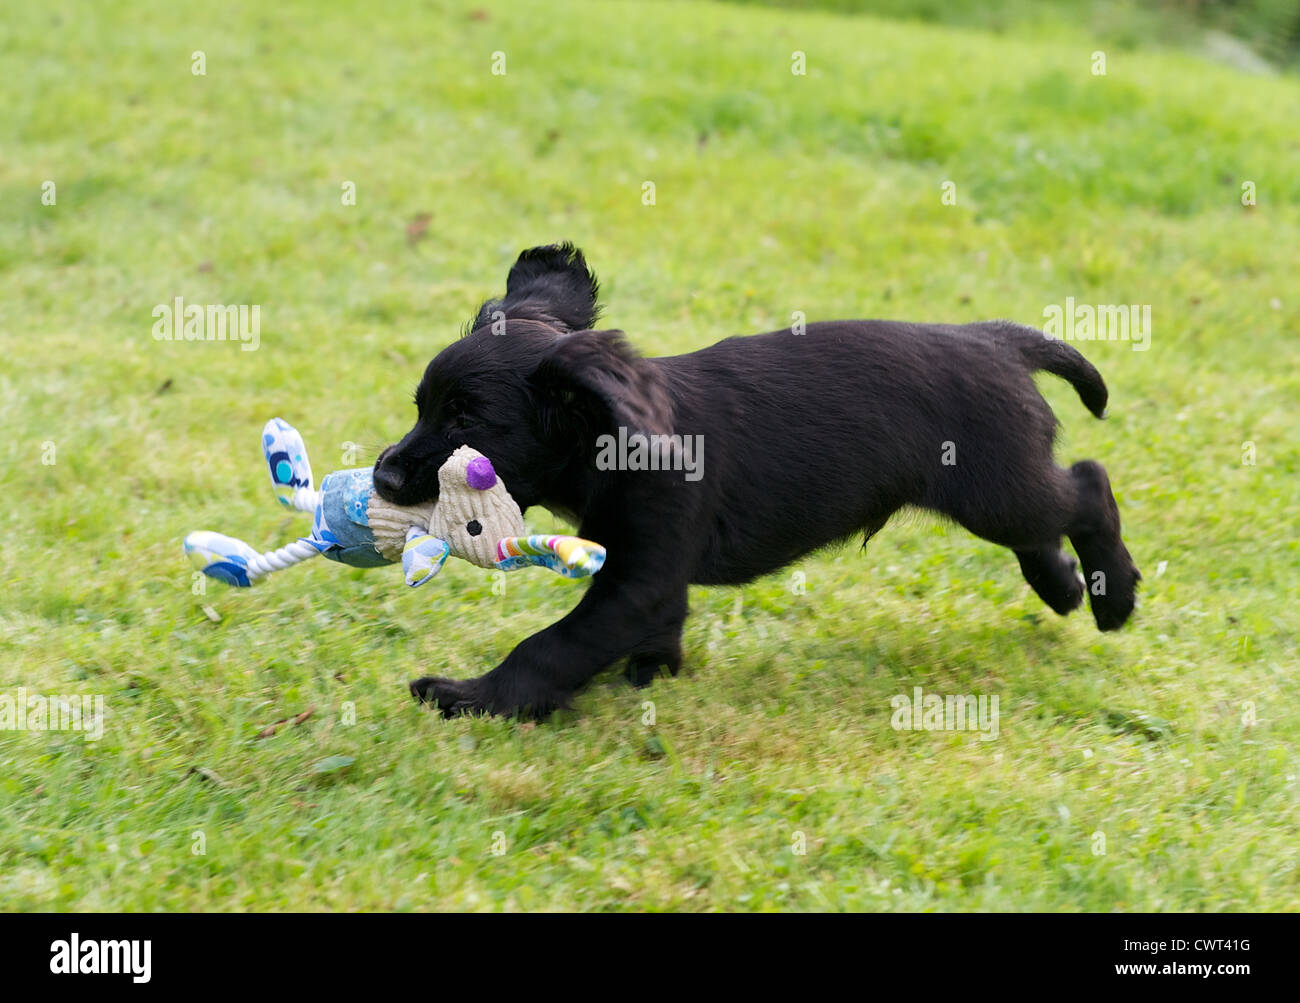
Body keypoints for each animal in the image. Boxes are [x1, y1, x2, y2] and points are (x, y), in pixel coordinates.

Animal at [377, 240, 1138, 722]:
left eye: (467, 420)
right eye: (421, 406)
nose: (382, 476)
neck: (613, 440)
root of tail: (994, 339)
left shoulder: (635, 580)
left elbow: (549, 647)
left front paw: (470, 696)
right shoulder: (654, 578)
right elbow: (654, 633)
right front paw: (653, 678)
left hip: (995, 488)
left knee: (1088, 486)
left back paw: (1114, 595)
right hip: (1004, 488)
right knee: (1051, 519)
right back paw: (1063, 585)